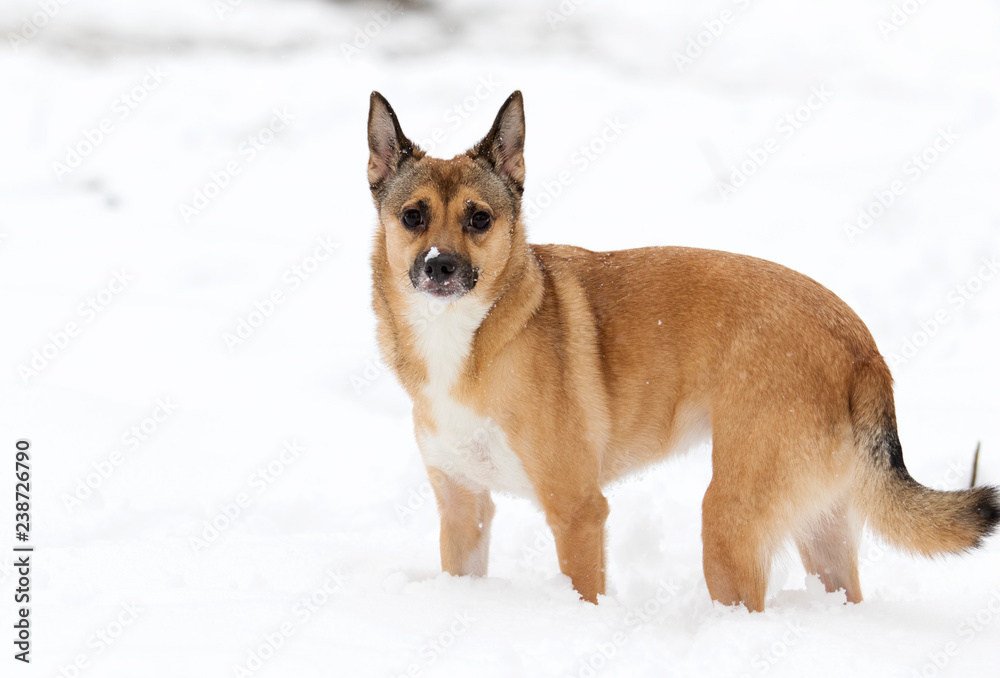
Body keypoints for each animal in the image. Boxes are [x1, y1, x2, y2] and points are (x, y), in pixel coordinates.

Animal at [368, 89, 1000, 612]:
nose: (440, 268)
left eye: (479, 218)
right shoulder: (464, 510)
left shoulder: (577, 512)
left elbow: (584, 592)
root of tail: (861, 345)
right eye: (413, 216)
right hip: (819, 525)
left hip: (729, 521)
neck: (465, 339)